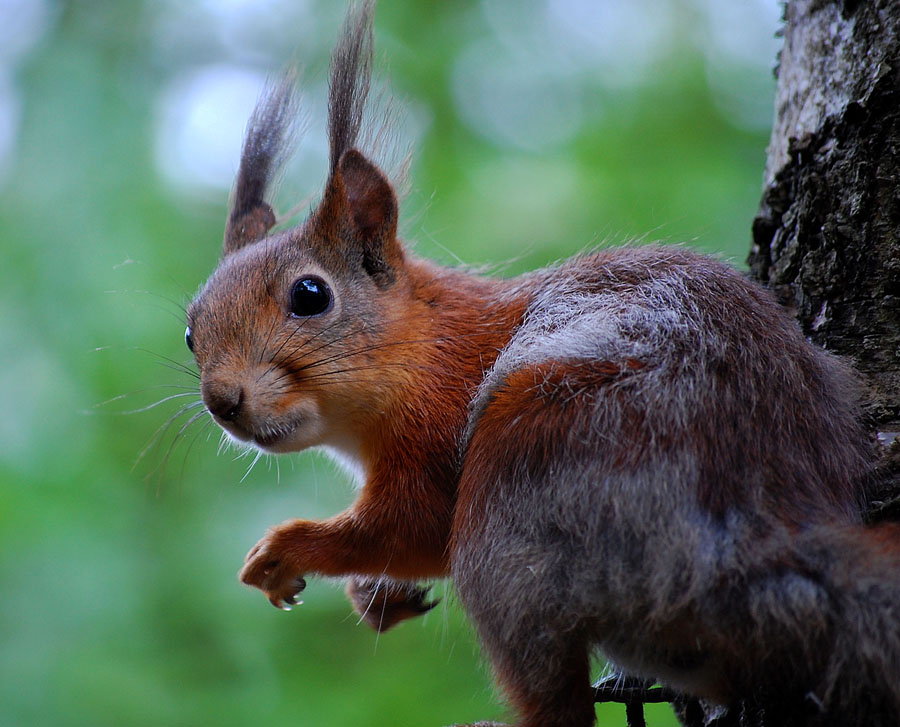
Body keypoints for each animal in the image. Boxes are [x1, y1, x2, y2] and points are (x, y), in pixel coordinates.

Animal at [183, 1, 900, 727]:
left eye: (309, 295)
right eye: (190, 331)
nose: (223, 401)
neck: (420, 348)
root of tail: (745, 542)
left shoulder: (433, 432)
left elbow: (417, 528)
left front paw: (287, 549)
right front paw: (375, 594)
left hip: (522, 493)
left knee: (555, 693)